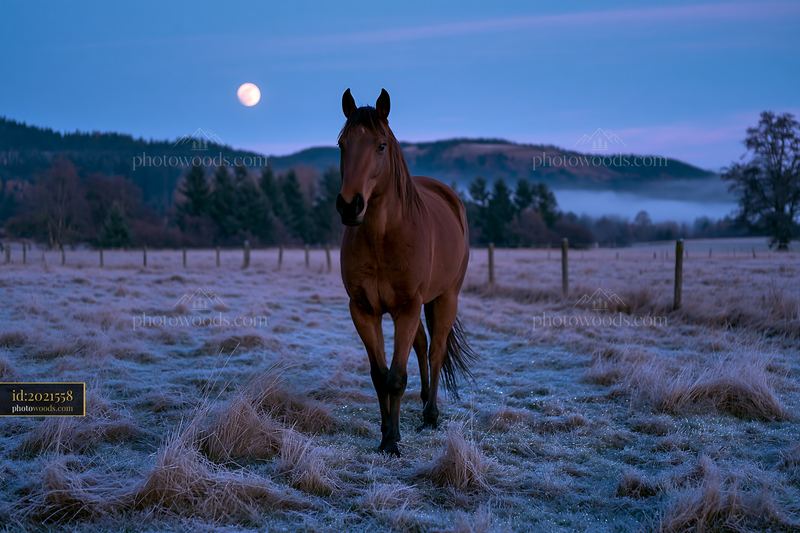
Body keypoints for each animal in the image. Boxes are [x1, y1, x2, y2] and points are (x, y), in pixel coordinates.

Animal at [335, 88, 477, 456]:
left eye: (381, 145)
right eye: (342, 144)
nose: (350, 205)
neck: (382, 239)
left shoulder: (407, 308)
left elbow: (396, 377)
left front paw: (392, 441)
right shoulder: (363, 310)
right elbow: (379, 375)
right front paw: (387, 432)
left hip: (445, 297)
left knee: (436, 349)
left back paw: (431, 415)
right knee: (423, 345)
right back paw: (426, 399)